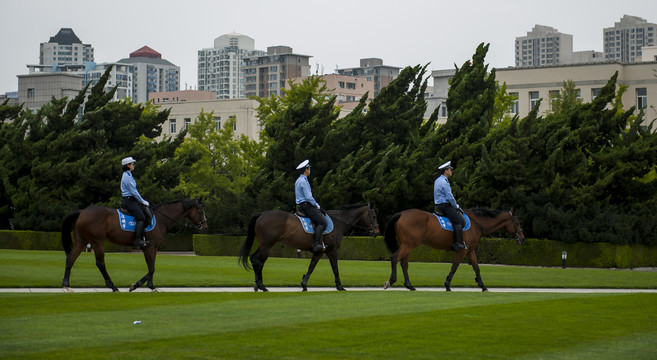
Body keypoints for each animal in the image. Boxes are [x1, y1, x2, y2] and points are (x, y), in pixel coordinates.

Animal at [61, 200, 206, 292]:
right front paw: (136, 285)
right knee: (100, 263)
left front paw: (151, 286)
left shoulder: (153, 248)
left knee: (70, 259)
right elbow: (151, 268)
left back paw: (66, 284)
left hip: (81, 241)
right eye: (201, 211)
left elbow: (151, 266)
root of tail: (82, 211)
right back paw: (112, 286)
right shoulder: (149, 247)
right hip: (98, 242)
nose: (205, 226)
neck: (161, 219)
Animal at [238, 204, 380, 292]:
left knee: (254, 259)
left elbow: (311, 266)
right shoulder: (332, 250)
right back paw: (261, 285)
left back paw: (258, 285)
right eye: (374, 216)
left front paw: (304, 284)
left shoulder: (320, 252)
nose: (377, 232)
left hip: (263, 245)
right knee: (258, 261)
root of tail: (262, 214)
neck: (338, 221)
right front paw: (339, 286)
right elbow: (335, 268)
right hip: (267, 246)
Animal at [384, 210, 524, 292]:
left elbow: (476, 267)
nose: (522, 238)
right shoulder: (462, 251)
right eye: (517, 223)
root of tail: (402, 214)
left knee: (404, 263)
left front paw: (482, 285)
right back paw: (391, 280)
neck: (476, 224)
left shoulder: (470, 250)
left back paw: (409, 285)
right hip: (408, 245)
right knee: (395, 258)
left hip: (408, 245)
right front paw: (447, 284)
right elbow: (455, 266)